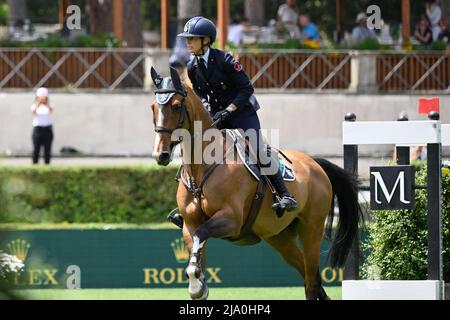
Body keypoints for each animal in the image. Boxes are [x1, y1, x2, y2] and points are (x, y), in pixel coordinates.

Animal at [150, 67, 362, 300]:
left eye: (176, 105)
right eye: (153, 107)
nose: (160, 154)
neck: (202, 169)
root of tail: (315, 164)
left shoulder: (231, 219)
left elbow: (201, 235)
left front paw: (197, 284)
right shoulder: (190, 224)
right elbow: (196, 251)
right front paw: (199, 284)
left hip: (311, 230)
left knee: (311, 281)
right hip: (280, 237)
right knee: (311, 277)